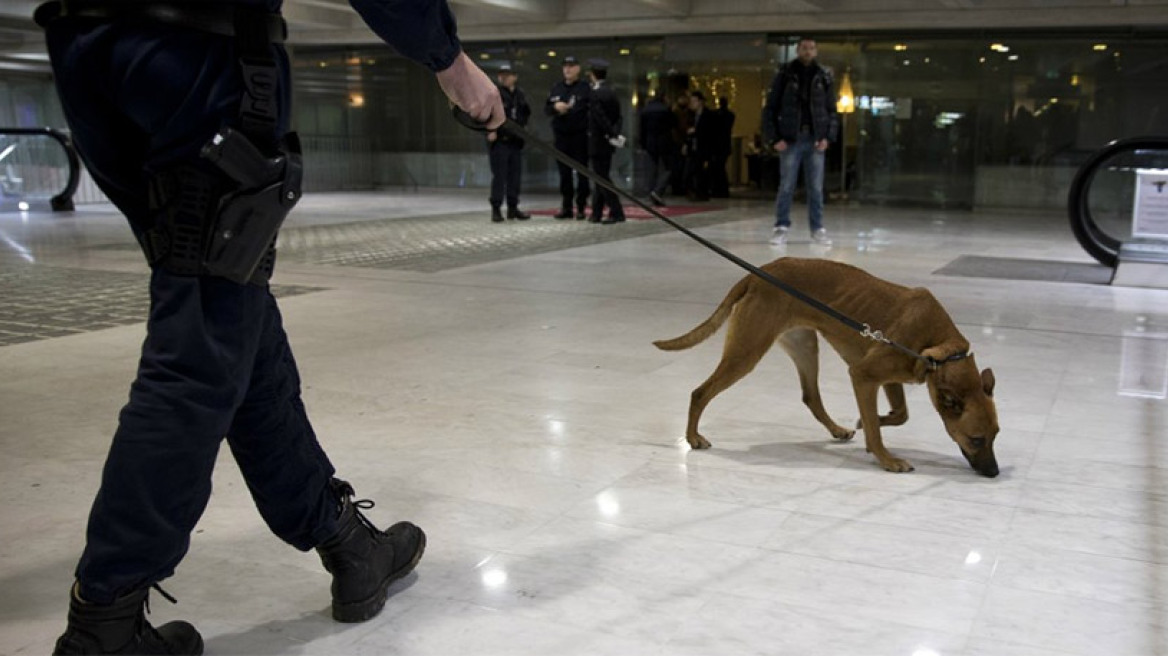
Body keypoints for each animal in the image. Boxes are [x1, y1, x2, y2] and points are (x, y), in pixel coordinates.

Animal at [654, 255, 999, 473]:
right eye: (976, 439)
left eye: (996, 435)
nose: (994, 473)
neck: (941, 349)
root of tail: (755, 274)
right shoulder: (863, 375)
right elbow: (878, 426)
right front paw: (885, 457)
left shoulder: (889, 379)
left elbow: (899, 415)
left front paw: (869, 424)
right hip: (746, 353)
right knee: (700, 392)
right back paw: (693, 438)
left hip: (805, 348)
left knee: (811, 397)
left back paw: (837, 429)